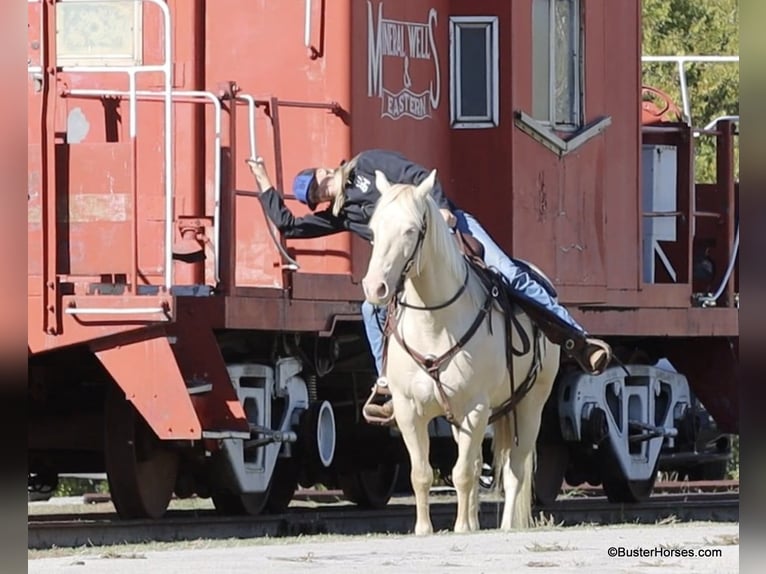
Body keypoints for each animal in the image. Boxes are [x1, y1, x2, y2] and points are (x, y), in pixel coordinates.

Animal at [360, 170, 564, 536]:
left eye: (410, 229)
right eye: (373, 229)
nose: (375, 287)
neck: (434, 323)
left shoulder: (475, 407)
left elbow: (464, 473)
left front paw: (460, 528)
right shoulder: (409, 411)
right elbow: (422, 474)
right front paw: (425, 529)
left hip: (530, 406)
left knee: (514, 471)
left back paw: (506, 525)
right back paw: (472, 521)